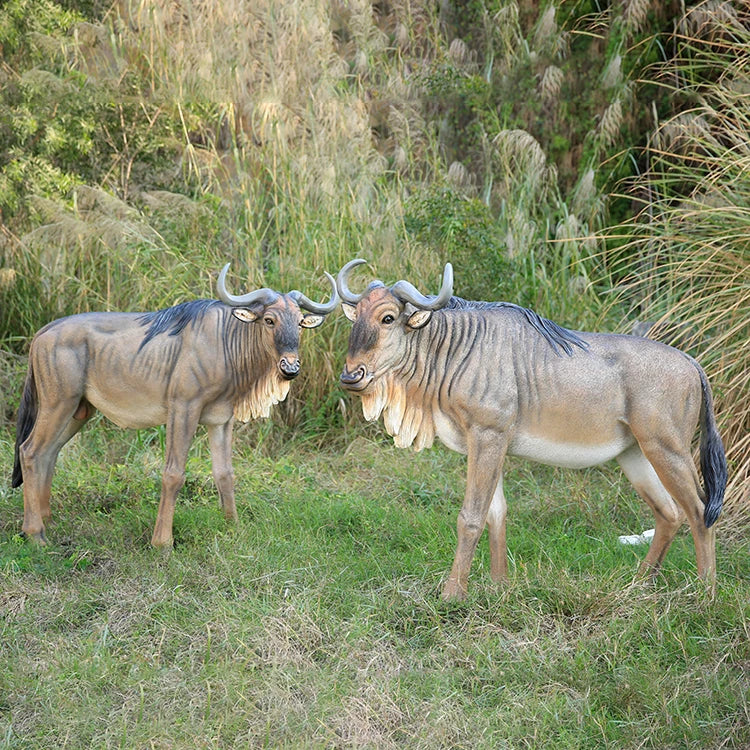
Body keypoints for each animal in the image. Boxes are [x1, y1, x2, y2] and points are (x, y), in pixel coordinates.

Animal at [12, 264, 338, 547]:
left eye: (300, 322)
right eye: (269, 320)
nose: (290, 368)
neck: (225, 340)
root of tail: (43, 333)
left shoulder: (221, 420)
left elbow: (225, 473)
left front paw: (232, 526)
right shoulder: (184, 409)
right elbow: (174, 473)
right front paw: (162, 543)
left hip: (77, 411)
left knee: (49, 453)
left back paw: (47, 521)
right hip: (58, 404)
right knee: (30, 451)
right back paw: (35, 534)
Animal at [336, 259, 726, 600]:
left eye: (388, 318)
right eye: (356, 317)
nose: (351, 376)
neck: (459, 348)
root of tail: (692, 363)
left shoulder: (488, 437)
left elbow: (471, 517)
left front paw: (452, 595)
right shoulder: (487, 446)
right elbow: (496, 515)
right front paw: (498, 589)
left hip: (667, 449)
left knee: (699, 511)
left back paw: (705, 594)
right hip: (635, 454)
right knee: (669, 514)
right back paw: (641, 584)